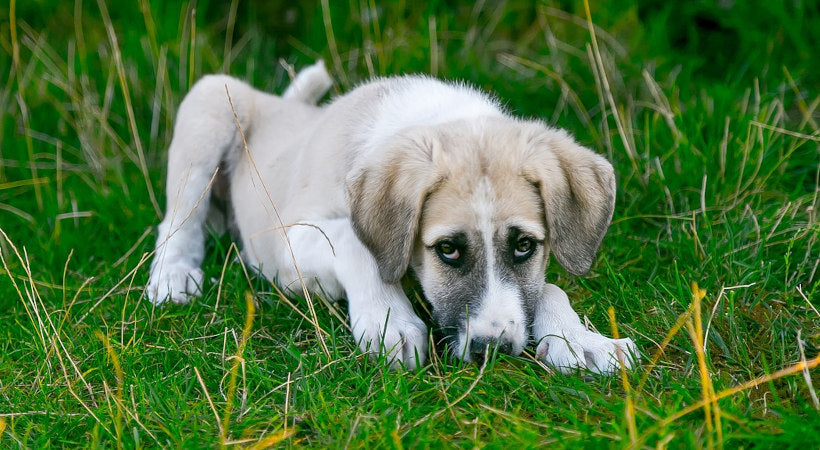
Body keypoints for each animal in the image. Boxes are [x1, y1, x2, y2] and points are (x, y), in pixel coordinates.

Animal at [146, 61, 636, 374]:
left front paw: (581, 339)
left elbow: (548, 287)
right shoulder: (289, 240)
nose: (492, 349)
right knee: (177, 219)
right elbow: (354, 243)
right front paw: (389, 321)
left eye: (524, 246)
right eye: (447, 249)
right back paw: (173, 275)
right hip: (211, 101)